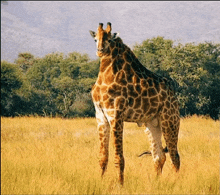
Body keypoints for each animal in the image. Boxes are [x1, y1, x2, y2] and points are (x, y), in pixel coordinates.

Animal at [89, 22, 180, 184]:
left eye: (109, 40)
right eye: (95, 39)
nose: (100, 51)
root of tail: (174, 96)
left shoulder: (116, 114)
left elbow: (119, 158)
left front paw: (120, 185)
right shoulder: (100, 115)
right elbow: (102, 157)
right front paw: (100, 182)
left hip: (170, 120)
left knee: (174, 156)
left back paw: (176, 184)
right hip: (152, 124)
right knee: (159, 156)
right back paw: (156, 183)